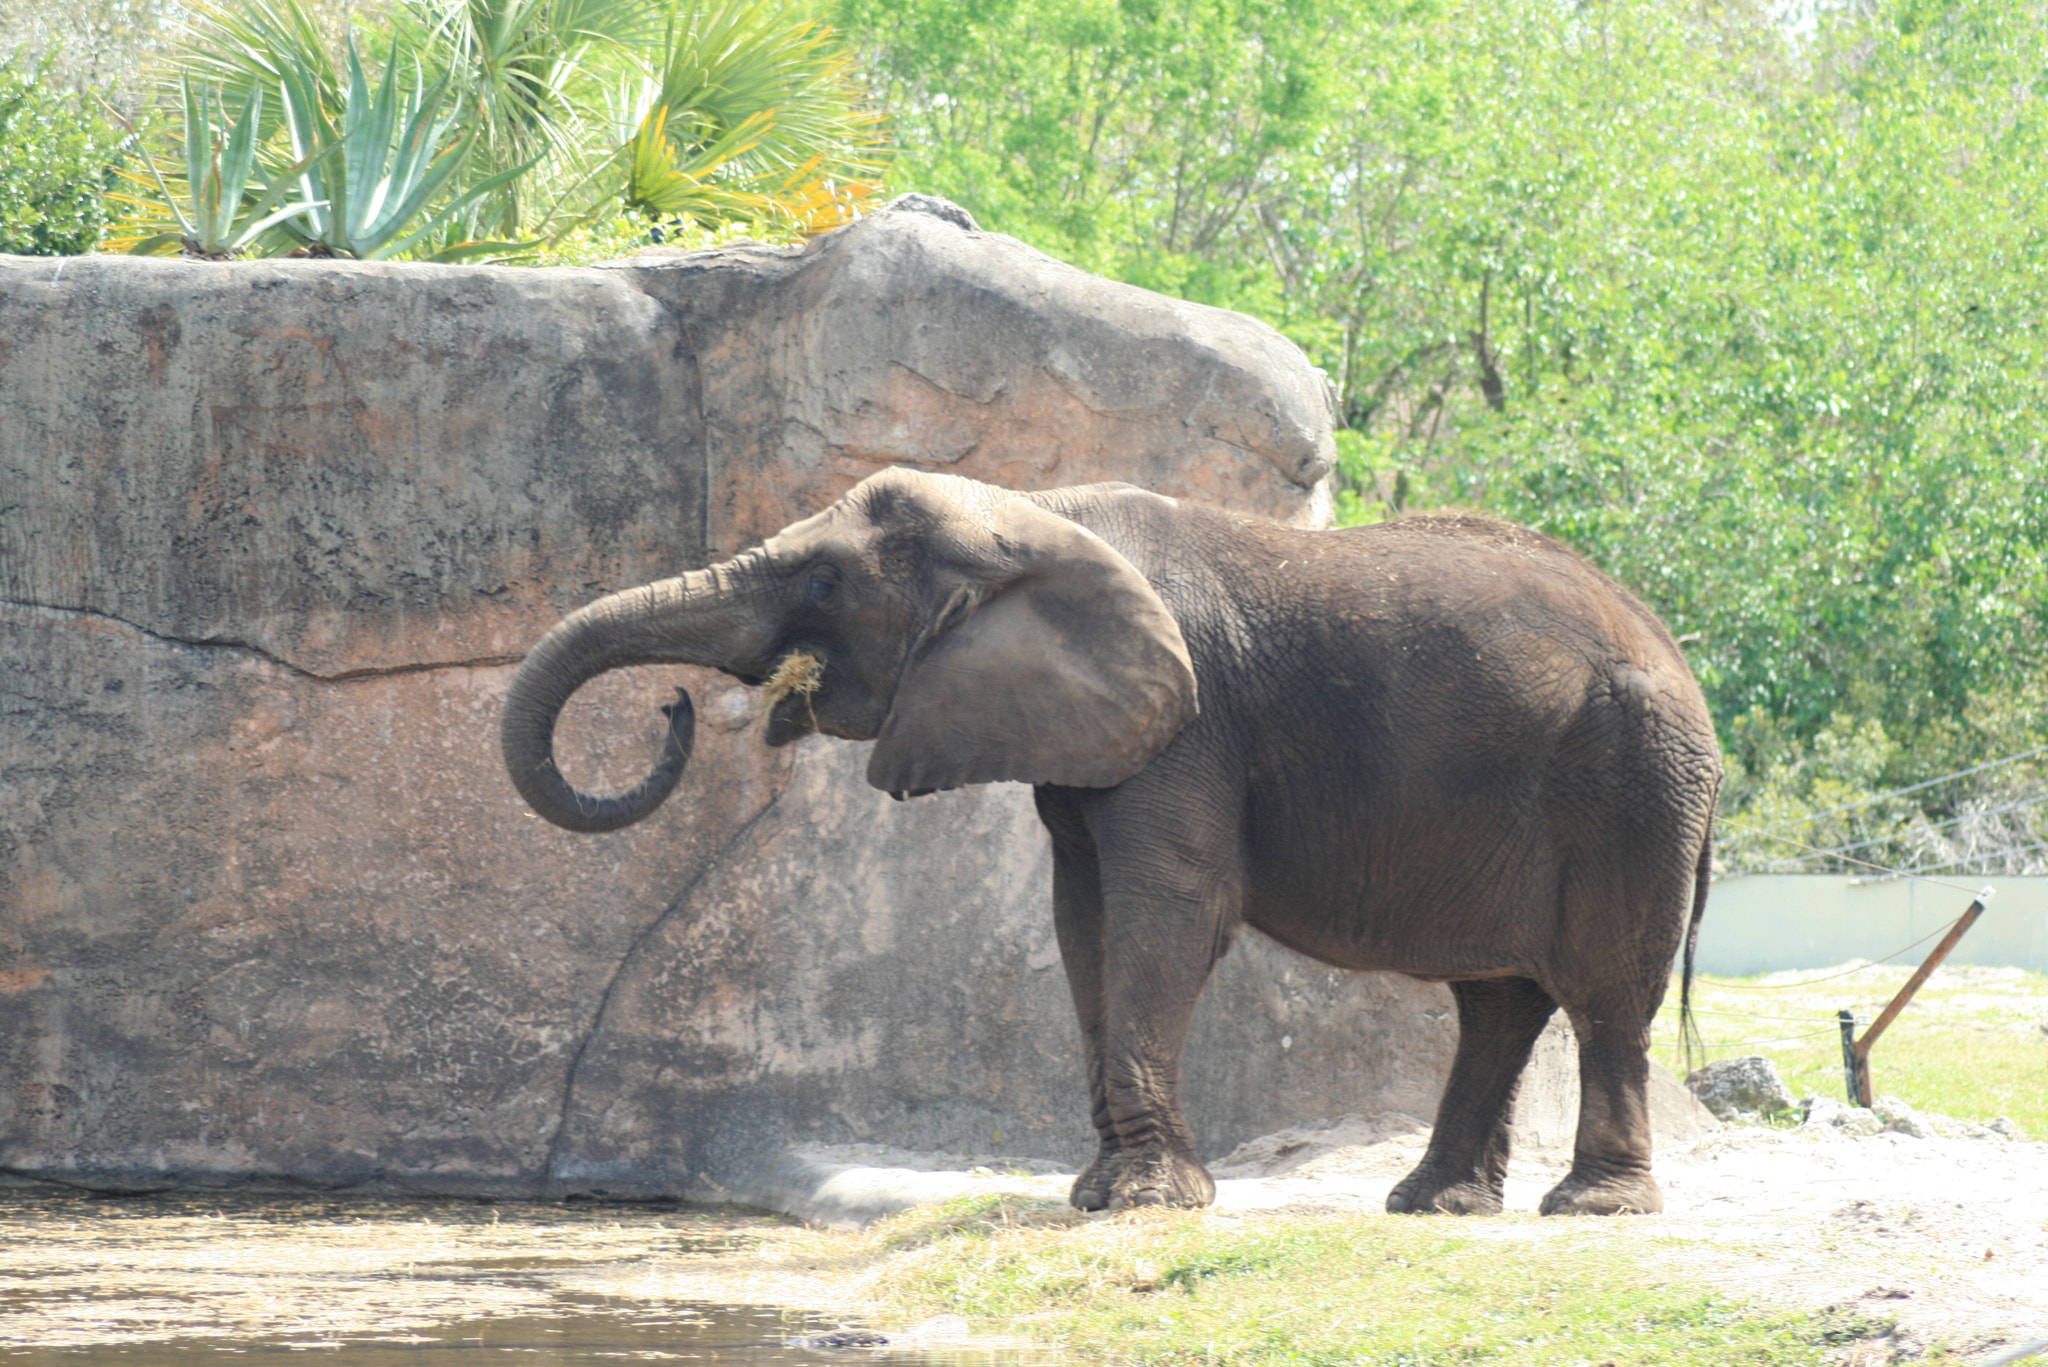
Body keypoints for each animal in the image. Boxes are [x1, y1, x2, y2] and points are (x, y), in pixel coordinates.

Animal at [501, 468, 1722, 1217]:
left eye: (822, 578)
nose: (674, 706)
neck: (1030, 511)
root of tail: (1674, 649)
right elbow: (1081, 922)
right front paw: (1101, 1193)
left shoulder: (1187, 730)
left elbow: (1165, 917)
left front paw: (1142, 1200)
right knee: (1499, 1000)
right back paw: (1432, 1202)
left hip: (1631, 779)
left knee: (1603, 991)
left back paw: (1591, 1204)